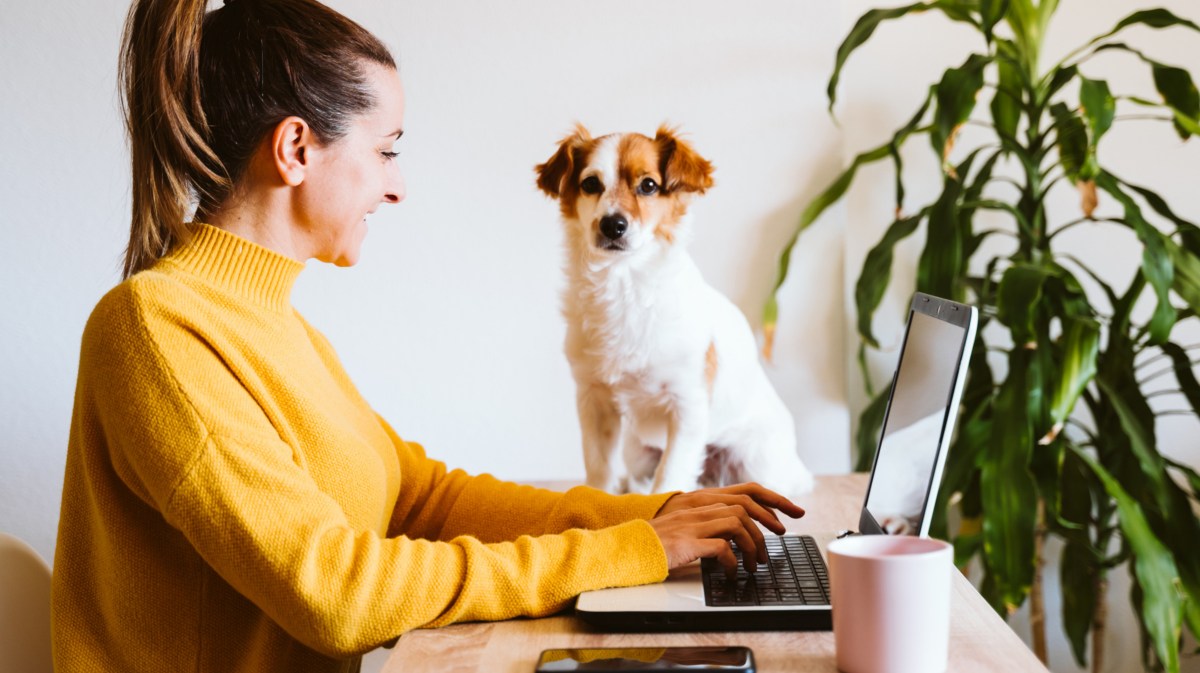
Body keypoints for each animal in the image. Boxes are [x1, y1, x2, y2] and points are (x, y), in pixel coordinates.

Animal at [535, 123, 816, 496]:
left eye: (648, 185)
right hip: (638, 451)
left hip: (757, 463)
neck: (624, 284)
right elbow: (598, 468)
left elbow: (670, 477)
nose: (613, 225)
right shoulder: (593, 400)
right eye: (591, 184)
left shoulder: (687, 404)